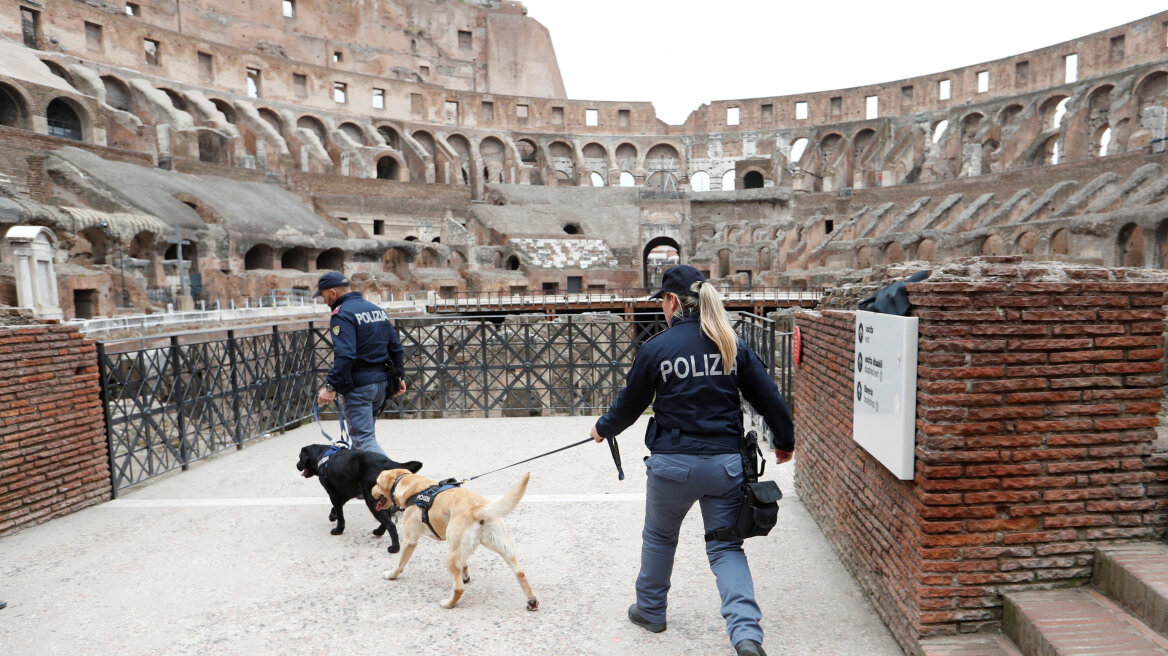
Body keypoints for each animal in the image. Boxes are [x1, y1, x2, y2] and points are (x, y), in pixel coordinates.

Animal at [296, 443, 425, 550]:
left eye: (299, 457)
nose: (297, 465)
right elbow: (336, 509)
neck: (321, 454)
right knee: (387, 516)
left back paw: (394, 548)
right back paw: (378, 531)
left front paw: (338, 530)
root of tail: (386, 462)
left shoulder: (333, 494)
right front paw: (332, 516)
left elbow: (340, 515)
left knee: (391, 524)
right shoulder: (345, 493)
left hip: (371, 500)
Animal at [373, 464, 537, 606]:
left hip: (450, 555)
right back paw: (532, 600)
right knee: (520, 573)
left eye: (377, 483)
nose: (370, 490)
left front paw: (391, 575)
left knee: (458, 589)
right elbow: (464, 563)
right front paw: (465, 575)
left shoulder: (410, 540)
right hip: (503, 548)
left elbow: (400, 564)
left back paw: (447, 604)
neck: (410, 484)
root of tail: (479, 509)